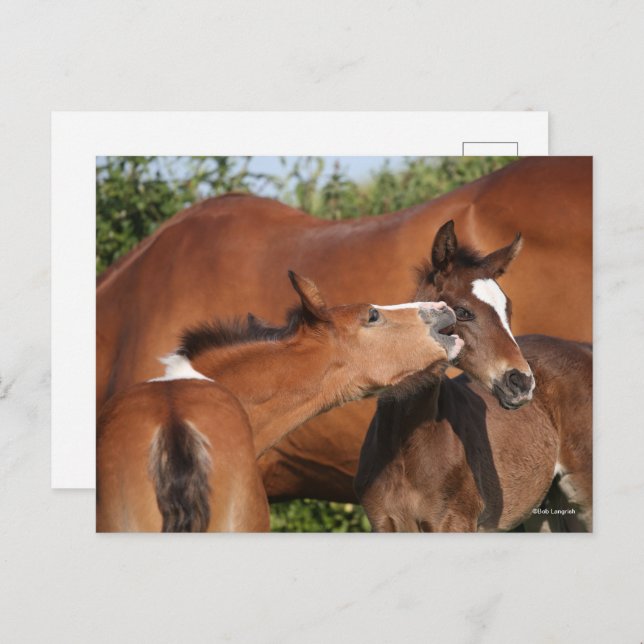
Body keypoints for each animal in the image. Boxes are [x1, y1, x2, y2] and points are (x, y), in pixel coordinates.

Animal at [354, 223, 593, 532]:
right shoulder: (383, 523)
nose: (521, 382)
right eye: (463, 312)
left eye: (508, 309)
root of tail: (584, 349)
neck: (403, 447)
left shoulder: (455, 522)